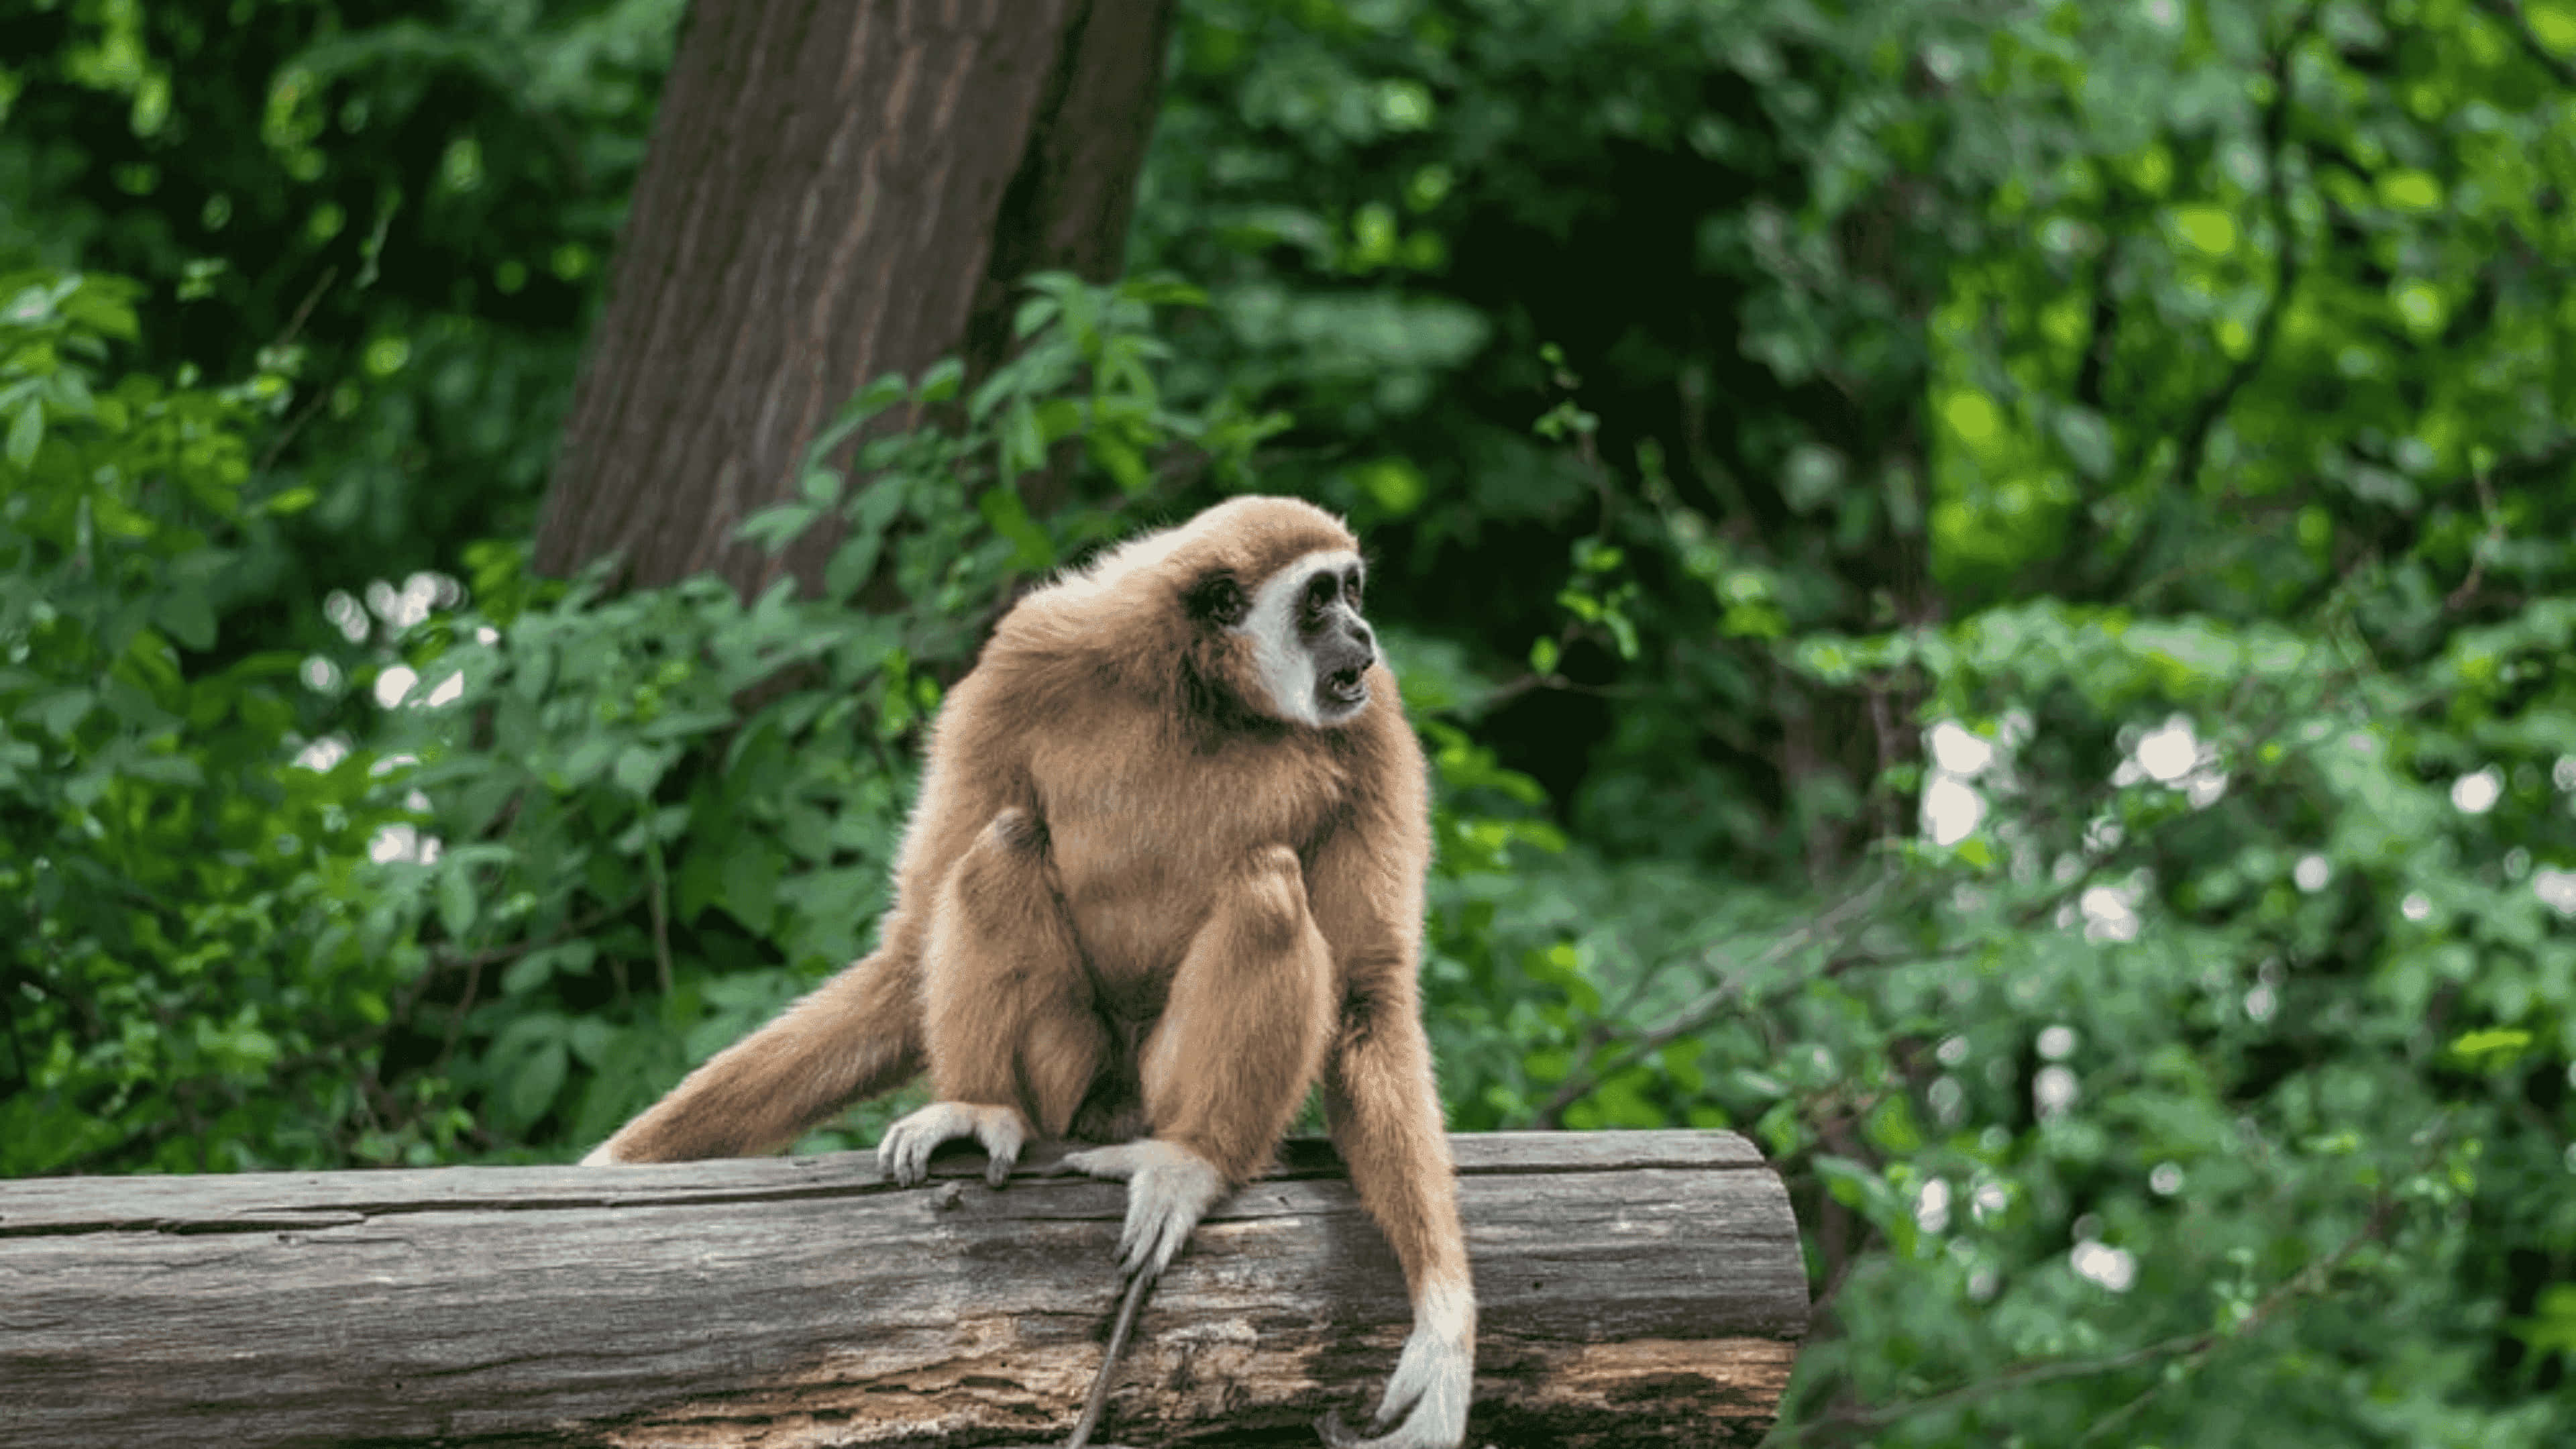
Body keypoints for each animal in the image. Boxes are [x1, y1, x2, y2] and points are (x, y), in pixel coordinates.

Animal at [580, 495, 1476, 1449]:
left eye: (1351, 590)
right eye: (1320, 599)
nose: (1362, 631)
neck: (1202, 694)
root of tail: (1115, 1108)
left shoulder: (1374, 723)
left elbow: (1369, 992)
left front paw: (1443, 1328)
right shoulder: (1024, 661)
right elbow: (911, 947)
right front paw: (612, 1165)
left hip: (1157, 1087)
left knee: (1267, 886)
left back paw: (1193, 1160)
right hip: (1063, 1080)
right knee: (1004, 841)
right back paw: (981, 1109)